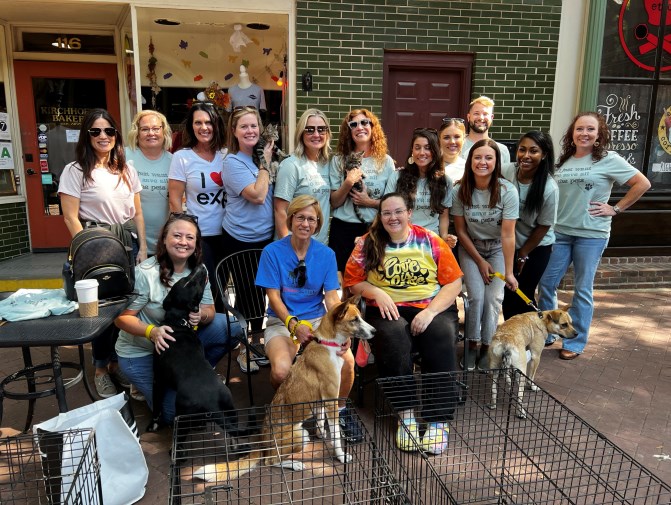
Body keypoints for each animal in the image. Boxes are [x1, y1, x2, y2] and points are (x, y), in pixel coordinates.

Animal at [193, 295, 375, 483]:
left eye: (360, 317)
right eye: (354, 320)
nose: (374, 331)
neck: (327, 343)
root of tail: (263, 443)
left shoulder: (320, 400)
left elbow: (320, 419)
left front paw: (322, 434)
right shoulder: (331, 400)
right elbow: (337, 437)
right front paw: (341, 456)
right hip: (300, 434)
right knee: (270, 460)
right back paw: (294, 464)